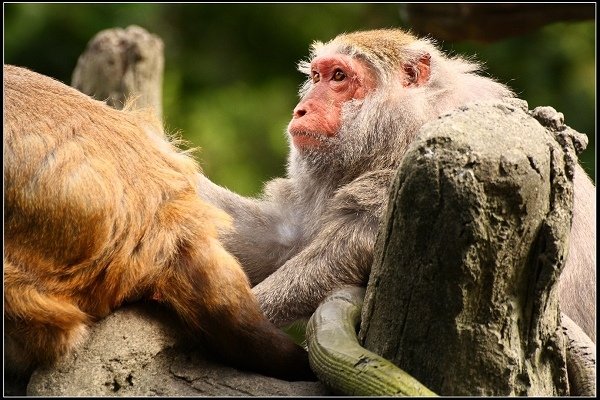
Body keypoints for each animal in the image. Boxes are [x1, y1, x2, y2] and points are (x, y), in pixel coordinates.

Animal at [200, 28, 596, 342]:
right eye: (316, 76)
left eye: (339, 76)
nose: (301, 110)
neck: (403, 123)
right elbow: (281, 236)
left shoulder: (429, 152)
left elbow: (348, 249)